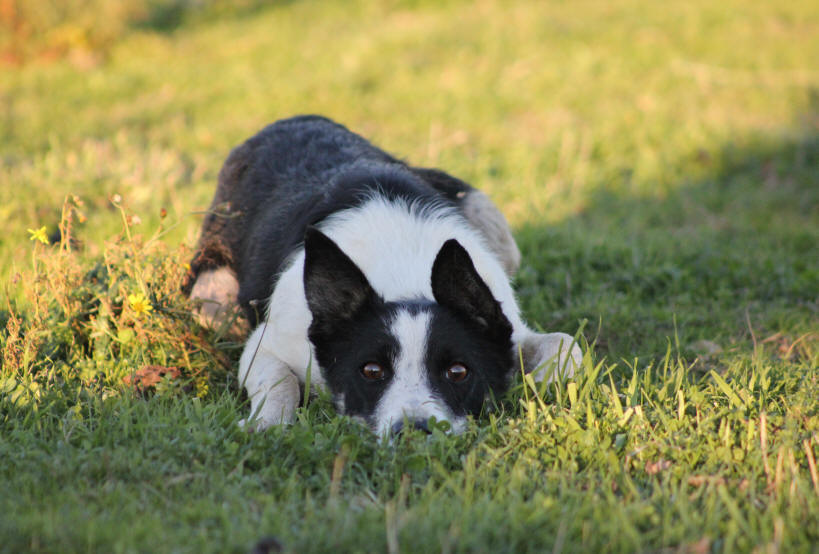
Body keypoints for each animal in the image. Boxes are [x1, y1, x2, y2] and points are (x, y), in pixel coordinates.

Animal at [187, 116, 584, 434]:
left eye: (458, 372)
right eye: (372, 371)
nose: (414, 432)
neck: (406, 282)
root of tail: (286, 121)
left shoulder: (512, 330)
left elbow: (566, 346)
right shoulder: (266, 345)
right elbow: (279, 383)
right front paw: (266, 423)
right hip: (210, 299)